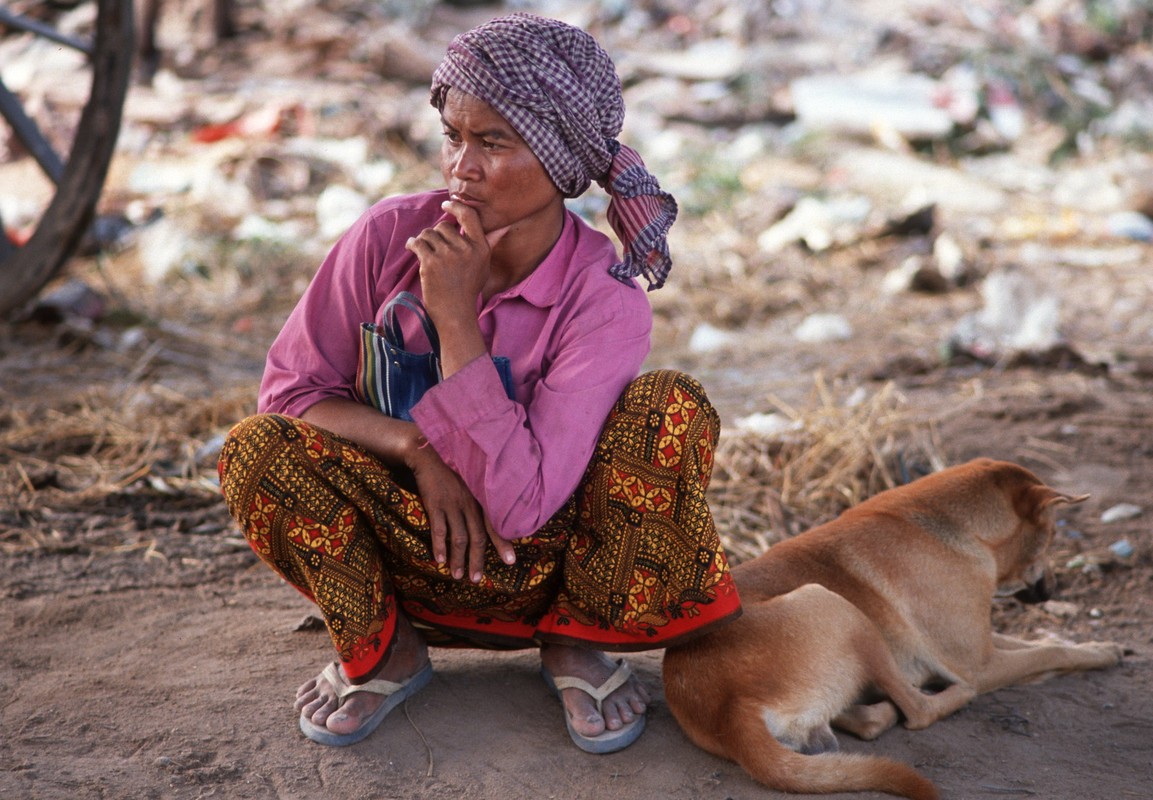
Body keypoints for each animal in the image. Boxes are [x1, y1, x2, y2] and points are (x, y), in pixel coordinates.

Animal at [664, 461, 1120, 797]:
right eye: (1053, 535)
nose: (1054, 590)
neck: (954, 526)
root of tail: (728, 710)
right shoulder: (981, 663)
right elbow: (1049, 652)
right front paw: (1100, 653)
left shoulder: (981, 642)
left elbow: (1039, 641)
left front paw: (1094, 642)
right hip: (839, 609)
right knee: (918, 710)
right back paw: (942, 696)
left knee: (863, 721)